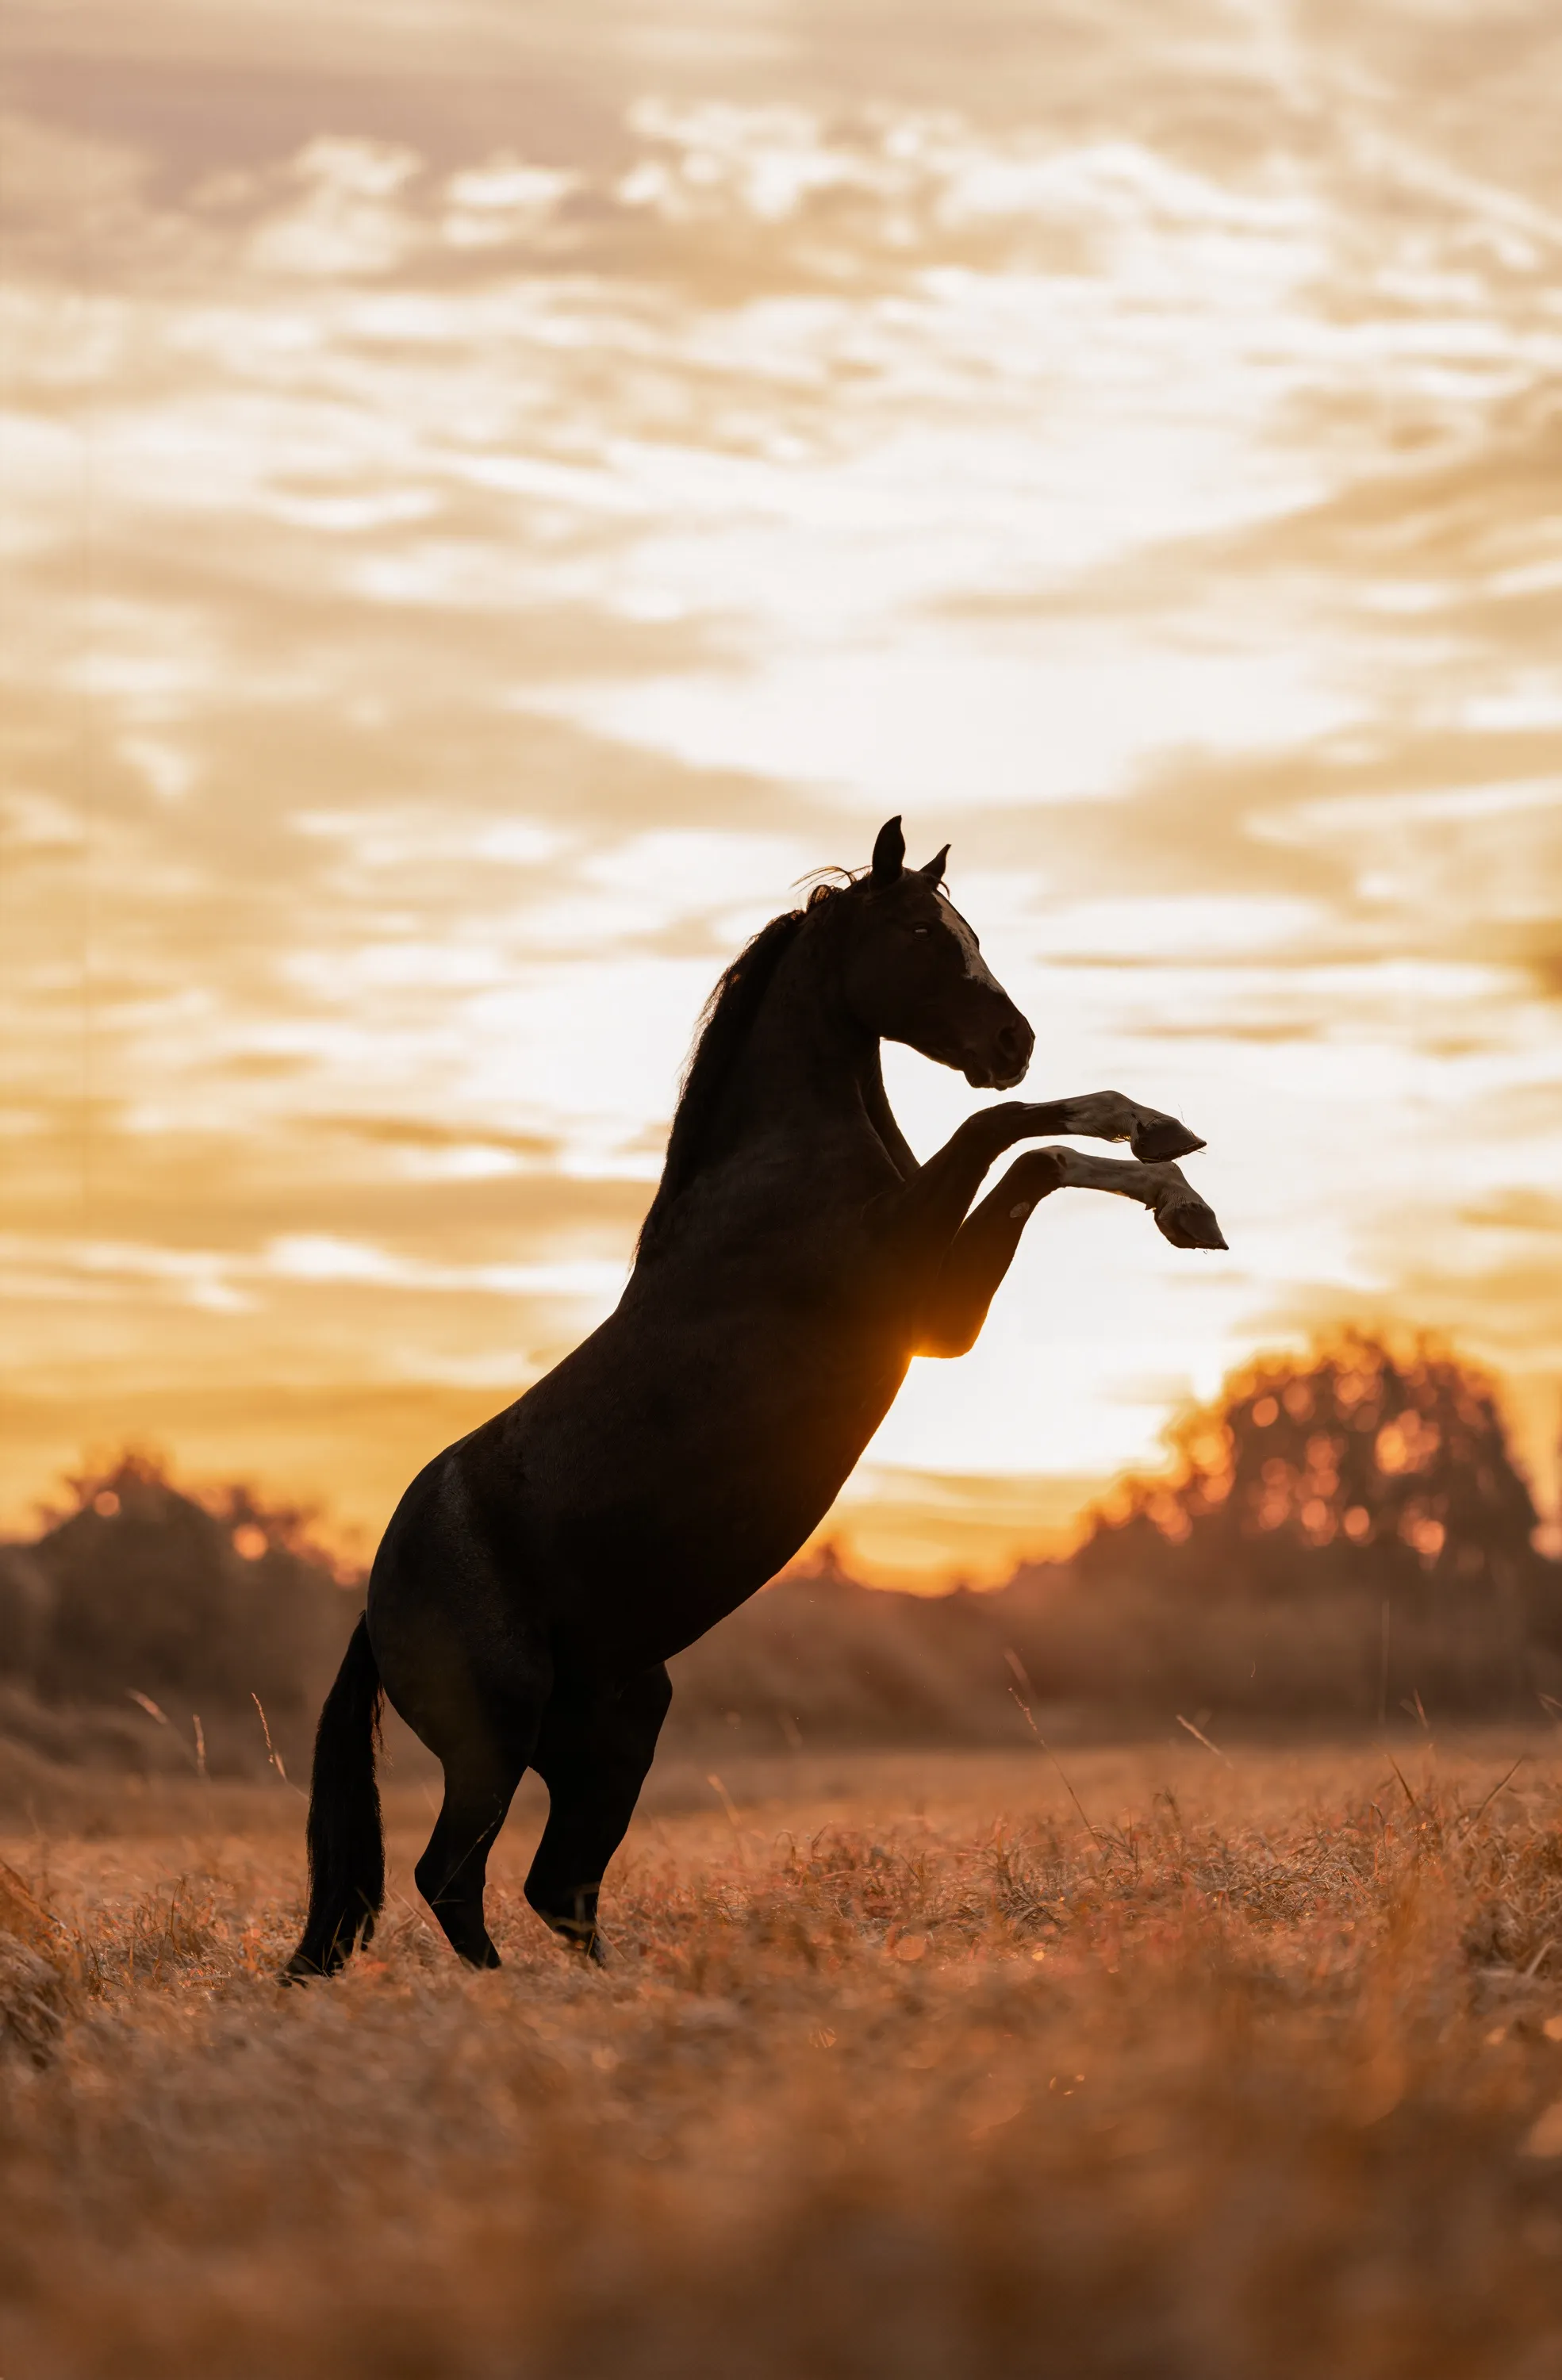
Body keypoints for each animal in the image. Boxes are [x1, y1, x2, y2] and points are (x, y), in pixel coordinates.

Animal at [284, 816, 1224, 1979]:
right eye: (922, 933)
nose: (1013, 1040)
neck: (775, 1174)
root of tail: (375, 1607)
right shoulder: (911, 1293)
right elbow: (1014, 1135)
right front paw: (1158, 1141)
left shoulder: (941, 1320)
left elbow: (1035, 1157)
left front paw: (1180, 1192)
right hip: (495, 1737)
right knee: (452, 1878)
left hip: (615, 1725)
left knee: (558, 1884)